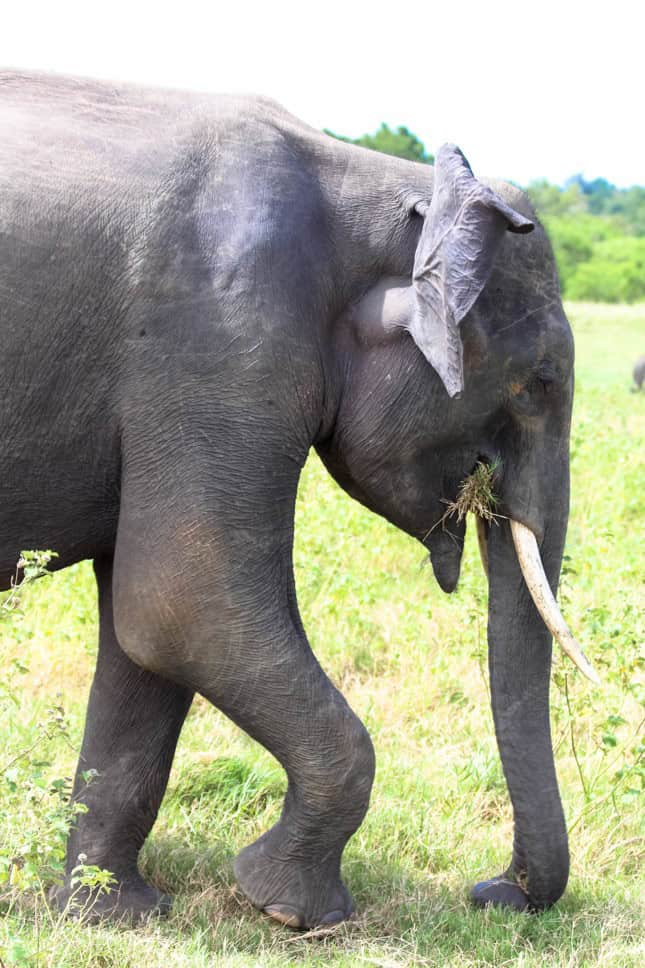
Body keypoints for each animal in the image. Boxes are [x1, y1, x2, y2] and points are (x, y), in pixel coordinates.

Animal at [0, 70, 598, 928]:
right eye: (538, 383)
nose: (490, 892)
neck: (374, 186)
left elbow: (143, 633)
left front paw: (112, 917)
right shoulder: (222, 340)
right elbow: (188, 607)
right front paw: (293, 910)